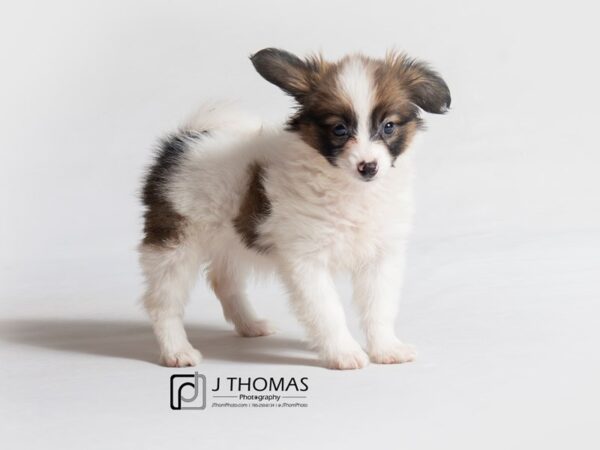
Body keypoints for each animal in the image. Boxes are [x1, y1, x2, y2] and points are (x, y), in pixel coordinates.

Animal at [139, 47, 450, 370]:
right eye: (339, 129)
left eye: (388, 126)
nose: (368, 167)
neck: (352, 190)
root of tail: (183, 140)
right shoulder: (306, 260)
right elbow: (327, 310)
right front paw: (344, 353)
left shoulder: (381, 257)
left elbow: (379, 307)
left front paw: (387, 348)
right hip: (175, 245)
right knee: (163, 302)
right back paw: (177, 351)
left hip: (232, 242)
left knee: (224, 281)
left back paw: (250, 325)